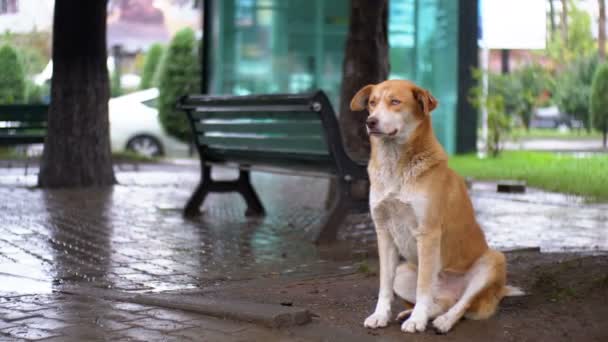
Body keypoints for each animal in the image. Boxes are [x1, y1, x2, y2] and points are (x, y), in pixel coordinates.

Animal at [352, 79, 524, 332]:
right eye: (372, 103)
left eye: (395, 101)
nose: (370, 121)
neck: (395, 165)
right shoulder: (383, 231)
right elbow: (384, 284)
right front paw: (380, 315)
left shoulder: (428, 233)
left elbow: (423, 285)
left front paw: (417, 321)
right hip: (404, 272)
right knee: (442, 302)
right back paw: (413, 312)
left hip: (493, 261)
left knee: (462, 304)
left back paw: (442, 321)